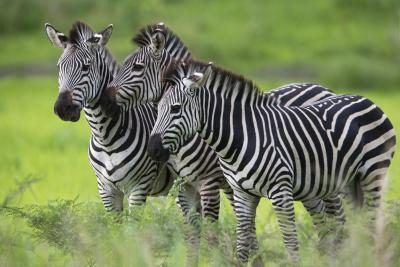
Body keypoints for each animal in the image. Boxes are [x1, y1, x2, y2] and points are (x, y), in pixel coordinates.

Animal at [148, 60, 396, 264]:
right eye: (156, 109)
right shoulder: (241, 193)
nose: (152, 149)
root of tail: (365, 99)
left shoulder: (280, 191)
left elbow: (290, 242)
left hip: (373, 176)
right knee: (352, 226)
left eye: (175, 109)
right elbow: (243, 245)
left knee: (370, 225)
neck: (242, 138)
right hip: (347, 183)